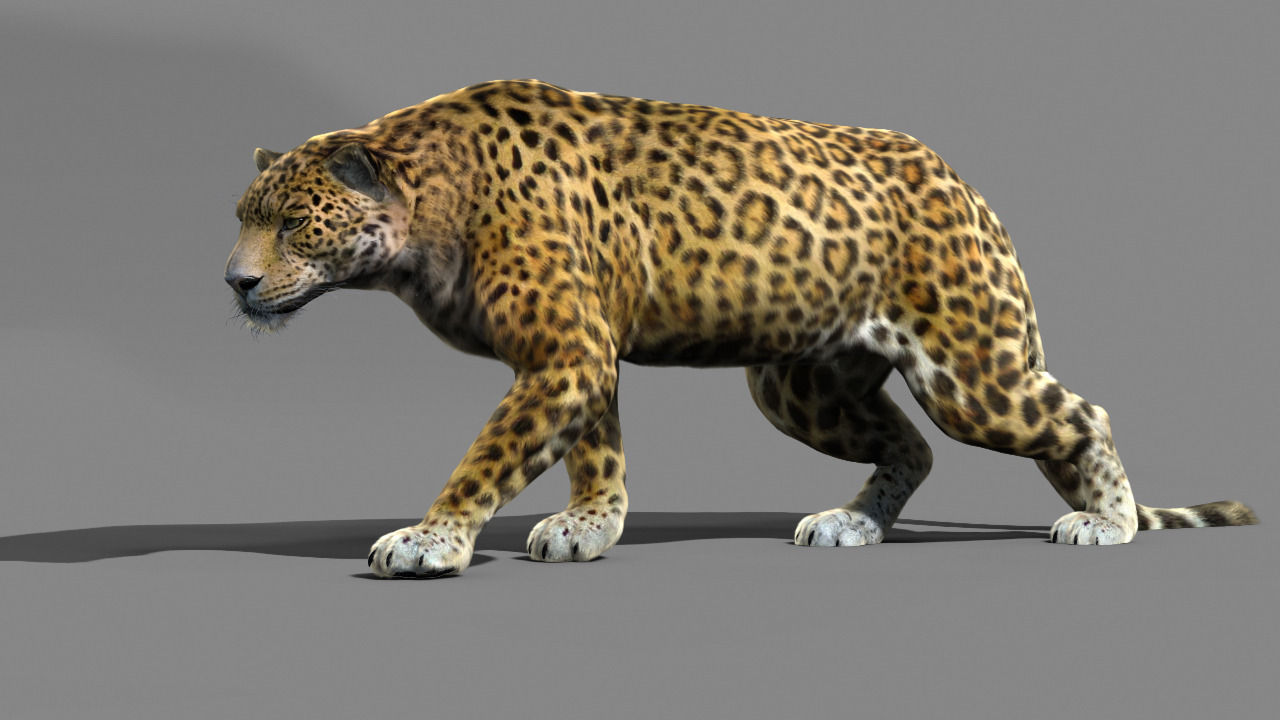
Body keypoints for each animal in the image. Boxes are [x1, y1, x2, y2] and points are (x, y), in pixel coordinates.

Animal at [225, 79, 1257, 578]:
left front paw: (430, 540)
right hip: (796, 384)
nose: (233, 282)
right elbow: (595, 450)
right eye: (242, 216)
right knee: (912, 447)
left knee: (1081, 413)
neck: (433, 204)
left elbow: (488, 456)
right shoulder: (583, 358)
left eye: (294, 222)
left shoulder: (565, 353)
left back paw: (1105, 521)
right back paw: (850, 524)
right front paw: (591, 526)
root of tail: (965, 185)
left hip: (970, 369)